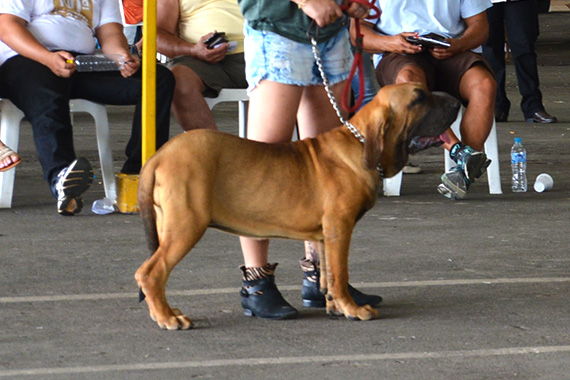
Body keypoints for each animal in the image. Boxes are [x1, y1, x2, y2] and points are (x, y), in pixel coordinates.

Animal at [135, 83, 460, 330]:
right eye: (418, 98)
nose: (457, 102)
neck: (359, 143)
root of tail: (159, 155)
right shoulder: (340, 228)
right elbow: (341, 273)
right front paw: (353, 309)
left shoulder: (326, 235)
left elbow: (328, 274)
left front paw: (335, 306)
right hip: (186, 225)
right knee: (150, 273)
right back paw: (167, 318)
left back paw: (165, 312)